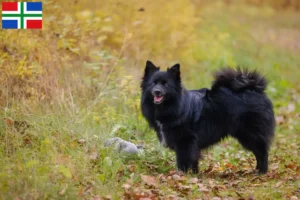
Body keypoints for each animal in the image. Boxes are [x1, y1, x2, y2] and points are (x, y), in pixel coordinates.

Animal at [139, 60, 276, 173]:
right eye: (153, 83)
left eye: (166, 85)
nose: (157, 91)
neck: (174, 106)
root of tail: (254, 88)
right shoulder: (193, 144)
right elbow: (194, 160)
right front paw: (194, 174)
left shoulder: (185, 141)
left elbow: (183, 161)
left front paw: (180, 175)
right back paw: (256, 170)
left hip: (250, 134)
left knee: (262, 152)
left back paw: (261, 172)